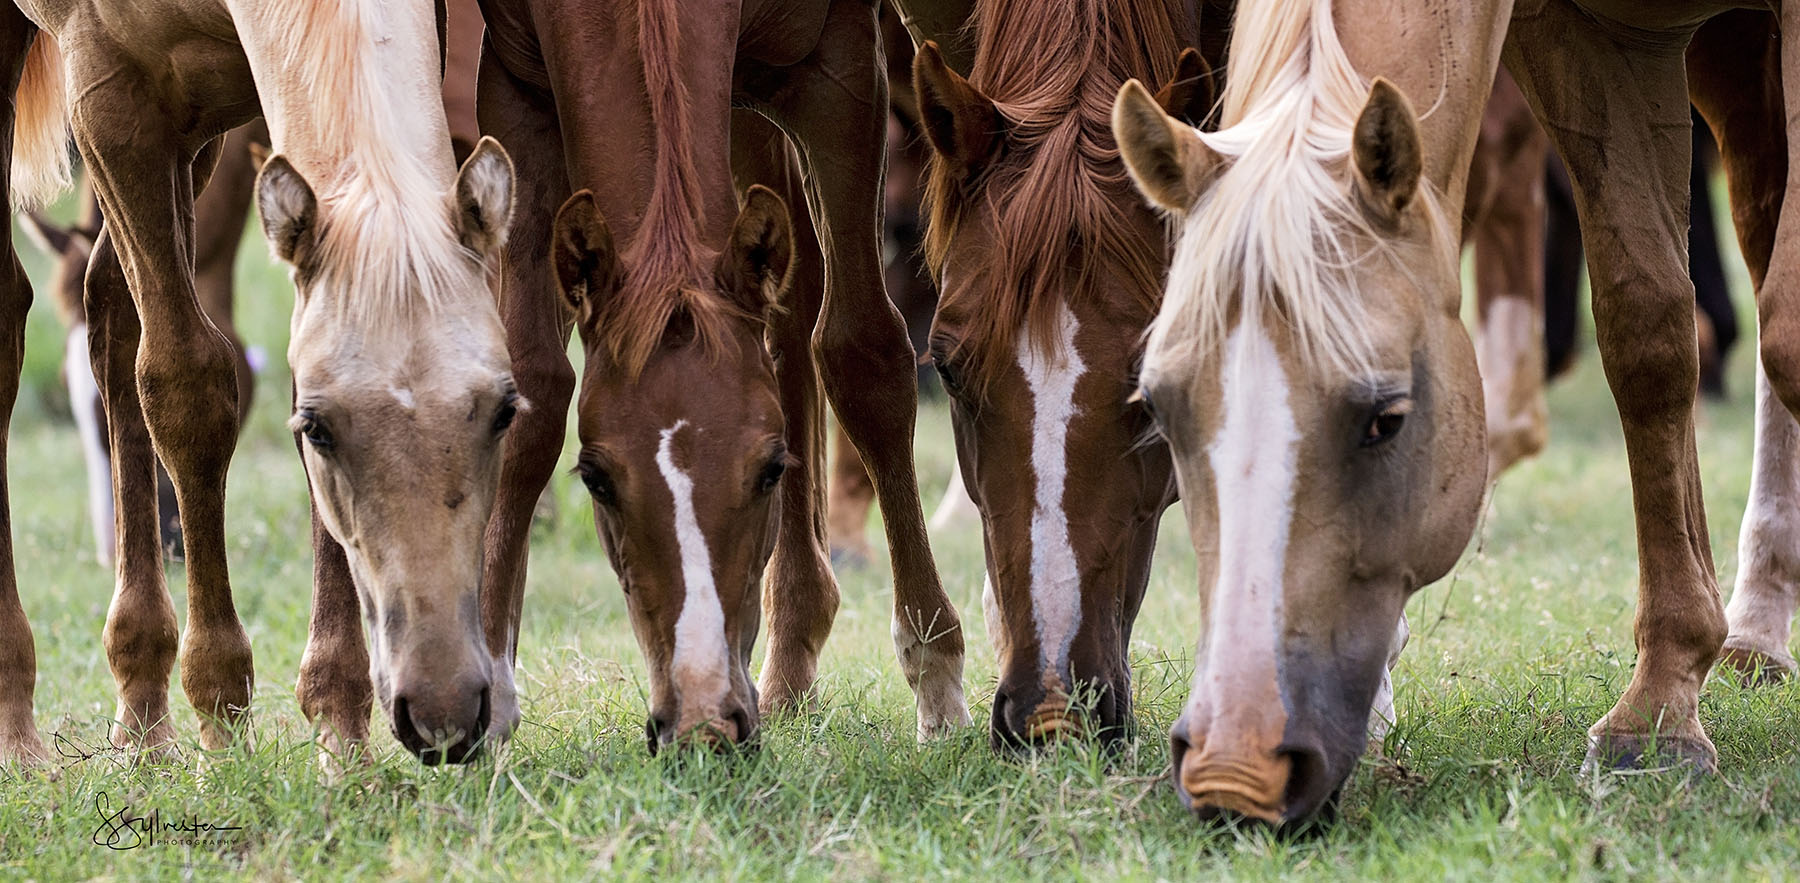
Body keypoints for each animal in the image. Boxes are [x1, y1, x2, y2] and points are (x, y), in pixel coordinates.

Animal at [1, 0, 522, 766]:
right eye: (318, 430)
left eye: (504, 412)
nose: (445, 710)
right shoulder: (112, 100)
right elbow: (185, 384)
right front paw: (221, 708)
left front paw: (339, 724)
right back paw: (21, 724)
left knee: (111, 310)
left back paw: (142, 708)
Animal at [478, 0, 972, 751]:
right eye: (596, 479)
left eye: (770, 469)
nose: (703, 724)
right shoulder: (517, 95)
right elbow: (529, 387)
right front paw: (486, 692)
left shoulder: (842, 74)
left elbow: (863, 355)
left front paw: (938, 680)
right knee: (789, 319)